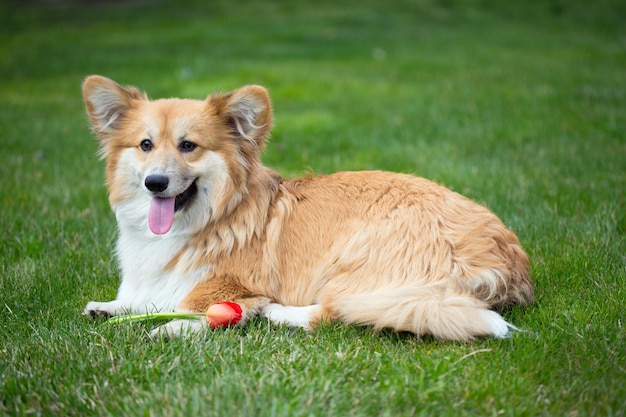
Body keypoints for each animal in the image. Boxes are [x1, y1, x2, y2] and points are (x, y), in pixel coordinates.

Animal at [83, 75, 532, 342]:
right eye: (145, 145)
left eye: (188, 145)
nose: (154, 183)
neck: (207, 218)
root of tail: (505, 264)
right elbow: (144, 298)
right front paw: (110, 308)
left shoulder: (233, 286)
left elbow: (195, 307)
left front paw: (172, 326)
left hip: (354, 261)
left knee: (336, 312)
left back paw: (283, 314)